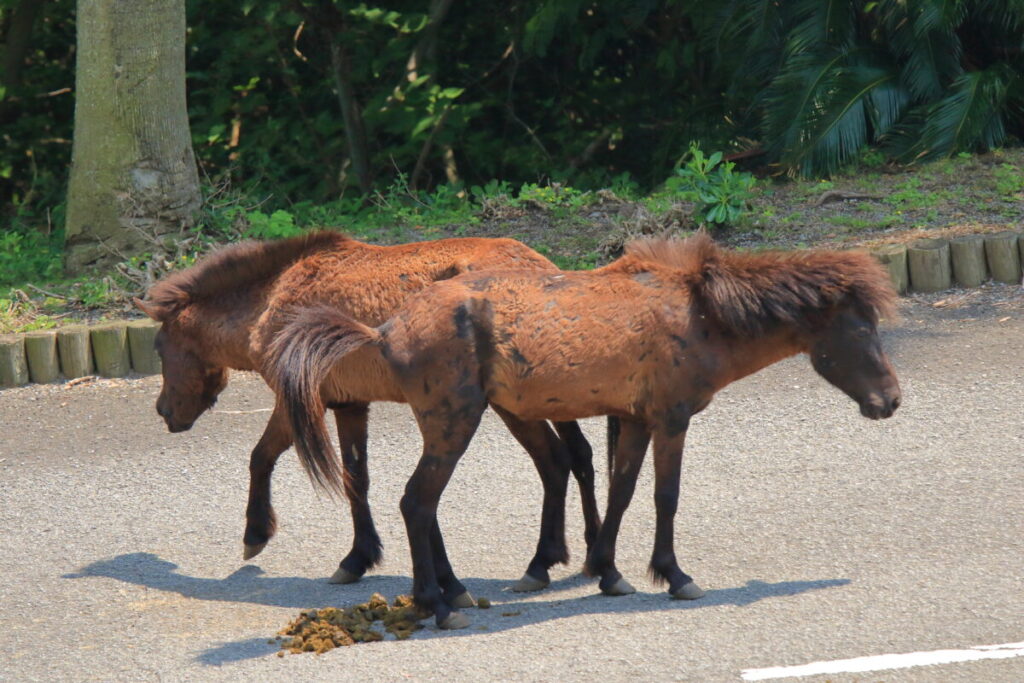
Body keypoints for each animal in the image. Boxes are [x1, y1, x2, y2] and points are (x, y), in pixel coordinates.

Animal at [134, 231, 602, 594]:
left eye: (159, 347)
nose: (163, 411)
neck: (268, 302)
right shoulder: (349, 404)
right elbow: (356, 480)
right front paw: (357, 558)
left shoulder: (298, 401)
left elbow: (260, 457)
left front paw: (256, 533)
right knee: (578, 457)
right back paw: (588, 555)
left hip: (515, 404)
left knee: (555, 462)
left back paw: (543, 563)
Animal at [269, 232, 901, 629]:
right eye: (860, 328)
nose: (891, 401)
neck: (698, 314)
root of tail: (385, 330)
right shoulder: (671, 418)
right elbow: (665, 496)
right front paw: (674, 575)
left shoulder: (635, 418)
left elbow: (621, 492)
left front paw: (608, 571)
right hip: (454, 423)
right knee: (417, 502)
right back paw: (439, 605)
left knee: (428, 504)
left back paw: (454, 592)